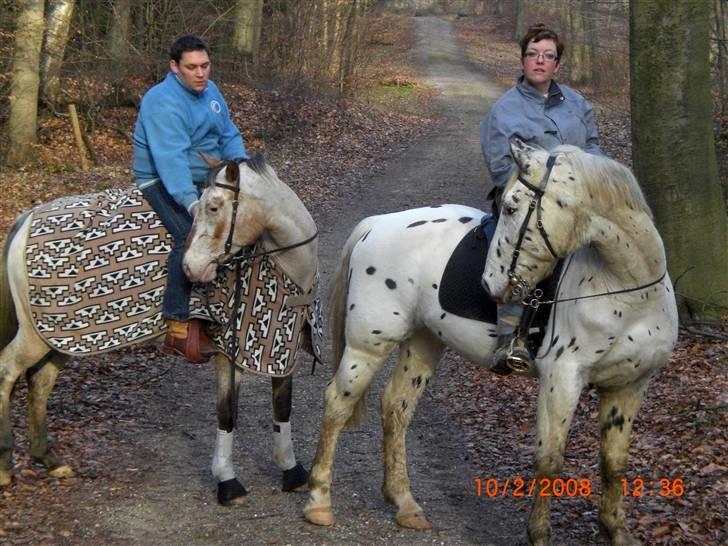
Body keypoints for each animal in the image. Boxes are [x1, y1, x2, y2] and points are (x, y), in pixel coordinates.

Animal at [302, 140, 676, 544]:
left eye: (512, 207)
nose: (488, 284)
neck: (628, 290)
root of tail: (378, 224)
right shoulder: (563, 379)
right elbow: (550, 460)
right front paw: (539, 534)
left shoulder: (630, 386)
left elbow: (615, 462)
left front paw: (615, 531)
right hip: (367, 346)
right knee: (337, 403)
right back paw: (319, 501)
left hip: (423, 343)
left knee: (397, 407)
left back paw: (405, 504)